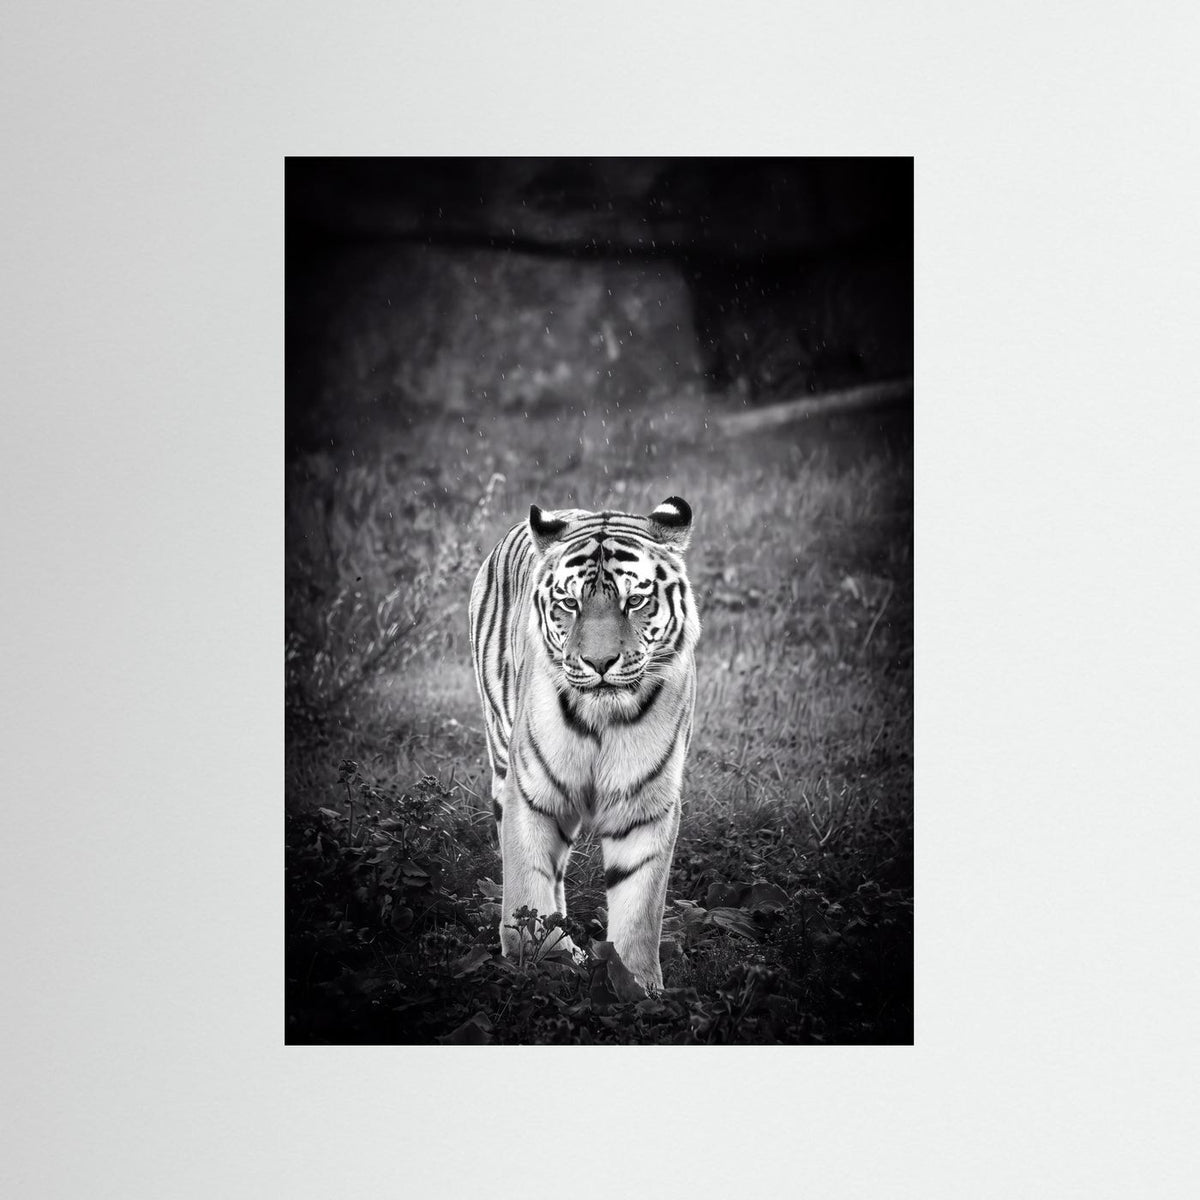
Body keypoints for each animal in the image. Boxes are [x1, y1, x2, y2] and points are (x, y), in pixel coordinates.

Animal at [468, 495, 699, 991]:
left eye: (635, 601)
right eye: (570, 604)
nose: (599, 662)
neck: (601, 719)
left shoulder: (645, 804)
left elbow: (640, 906)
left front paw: (636, 986)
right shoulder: (531, 792)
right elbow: (527, 882)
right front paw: (542, 961)